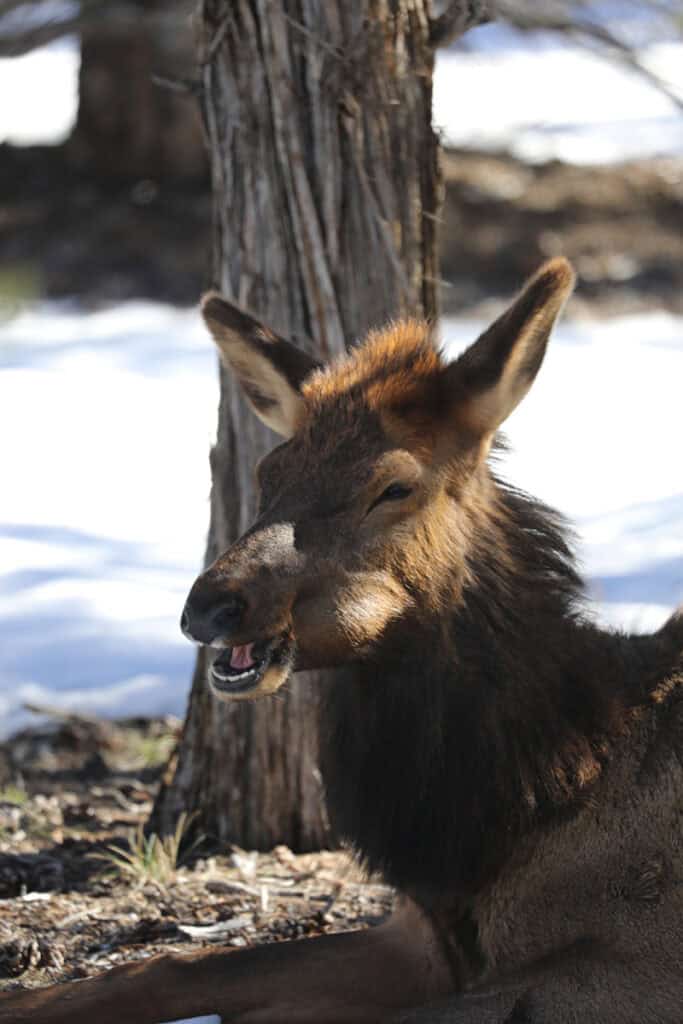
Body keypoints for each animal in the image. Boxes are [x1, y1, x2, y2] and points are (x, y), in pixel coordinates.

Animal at [2, 258, 682, 1024]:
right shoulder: (421, 936)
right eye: (267, 473)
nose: (209, 607)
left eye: (394, 487)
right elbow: (167, 966)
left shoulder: (639, 959)